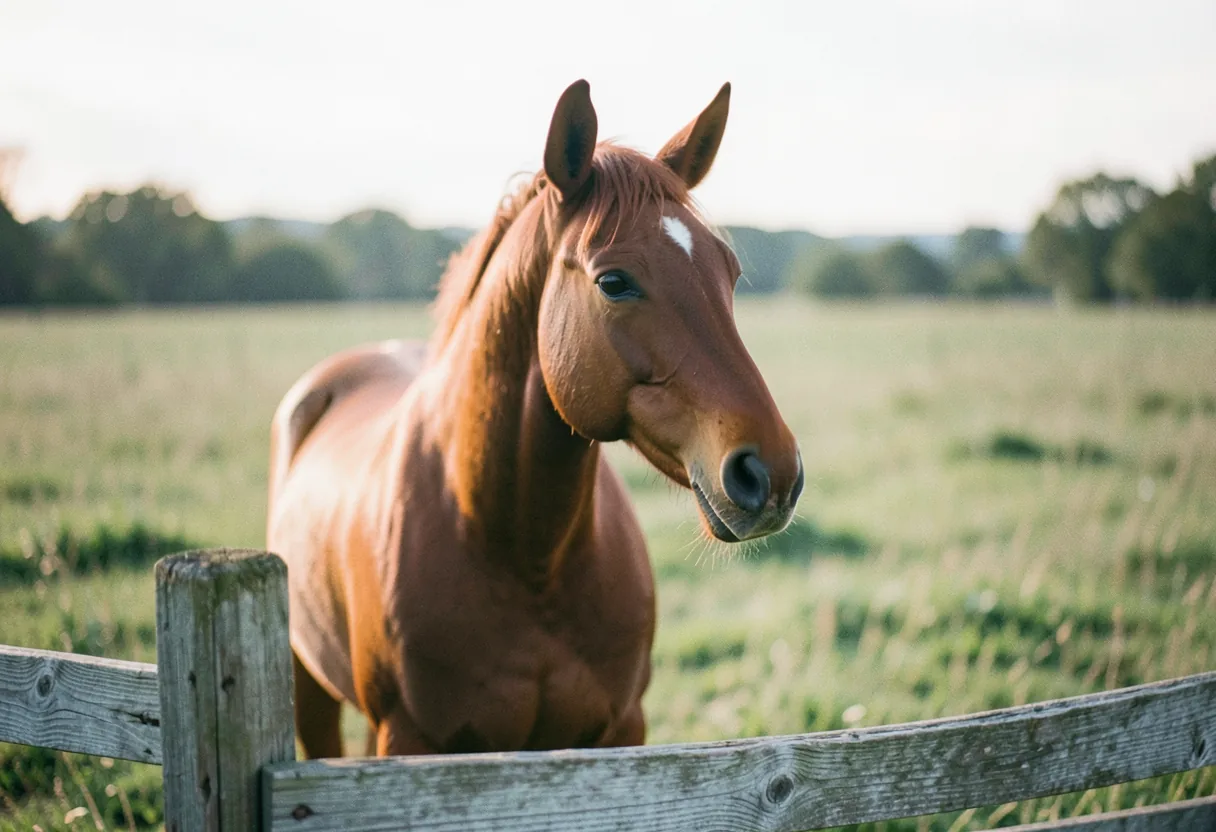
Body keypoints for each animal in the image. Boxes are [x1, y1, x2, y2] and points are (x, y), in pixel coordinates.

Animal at [267, 79, 804, 759]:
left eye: (729, 273)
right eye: (614, 282)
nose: (772, 473)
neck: (527, 557)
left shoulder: (620, 732)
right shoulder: (409, 740)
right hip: (307, 685)